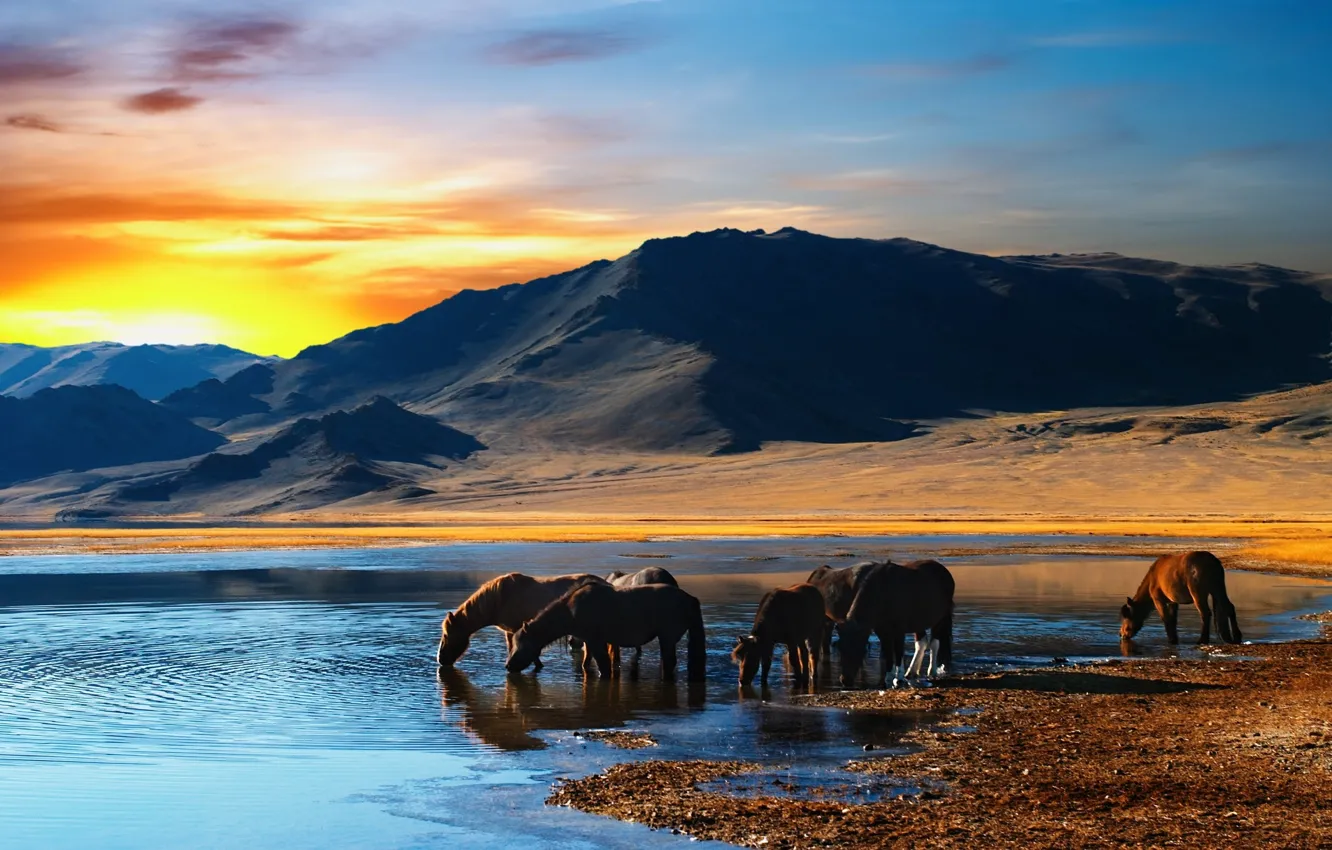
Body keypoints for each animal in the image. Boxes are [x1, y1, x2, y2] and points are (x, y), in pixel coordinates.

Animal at [437, 572, 607, 668]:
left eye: (446, 634)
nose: (440, 659)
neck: (500, 598)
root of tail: (606, 584)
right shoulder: (511, 631)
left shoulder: (518, 629)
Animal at [506, 582, 707, 682]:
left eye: (521, 644)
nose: (508, 666)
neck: (571, 610)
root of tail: (690, 599)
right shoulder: (588, 641)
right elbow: (586, 663)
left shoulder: (596, 641)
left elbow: (604, 666)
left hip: (667, 638)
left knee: (669, 662)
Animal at [837, 559, 955, 688]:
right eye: (841, 647)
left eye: (859, 647)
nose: (845, 680)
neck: (882, 593)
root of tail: (944, 571)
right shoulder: (882, 631)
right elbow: (889, 652)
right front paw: (889, 678)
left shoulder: (899, 630)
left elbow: (898, 652)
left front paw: (898, 678)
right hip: (919, 622)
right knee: (921, 643)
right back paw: (911, 672)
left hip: (941, 619)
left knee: (934, 643)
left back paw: (931, 671)